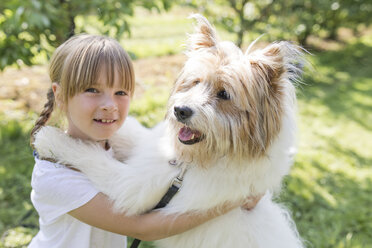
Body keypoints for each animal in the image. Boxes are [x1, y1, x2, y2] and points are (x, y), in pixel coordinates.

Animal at [35, 15, 306, 248]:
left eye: (224, 94)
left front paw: (49, 138)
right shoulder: (149, 151)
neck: (187, 163)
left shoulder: (132, 187)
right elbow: (130, 133)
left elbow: (91, 156)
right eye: (195, 82)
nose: (180, 110)